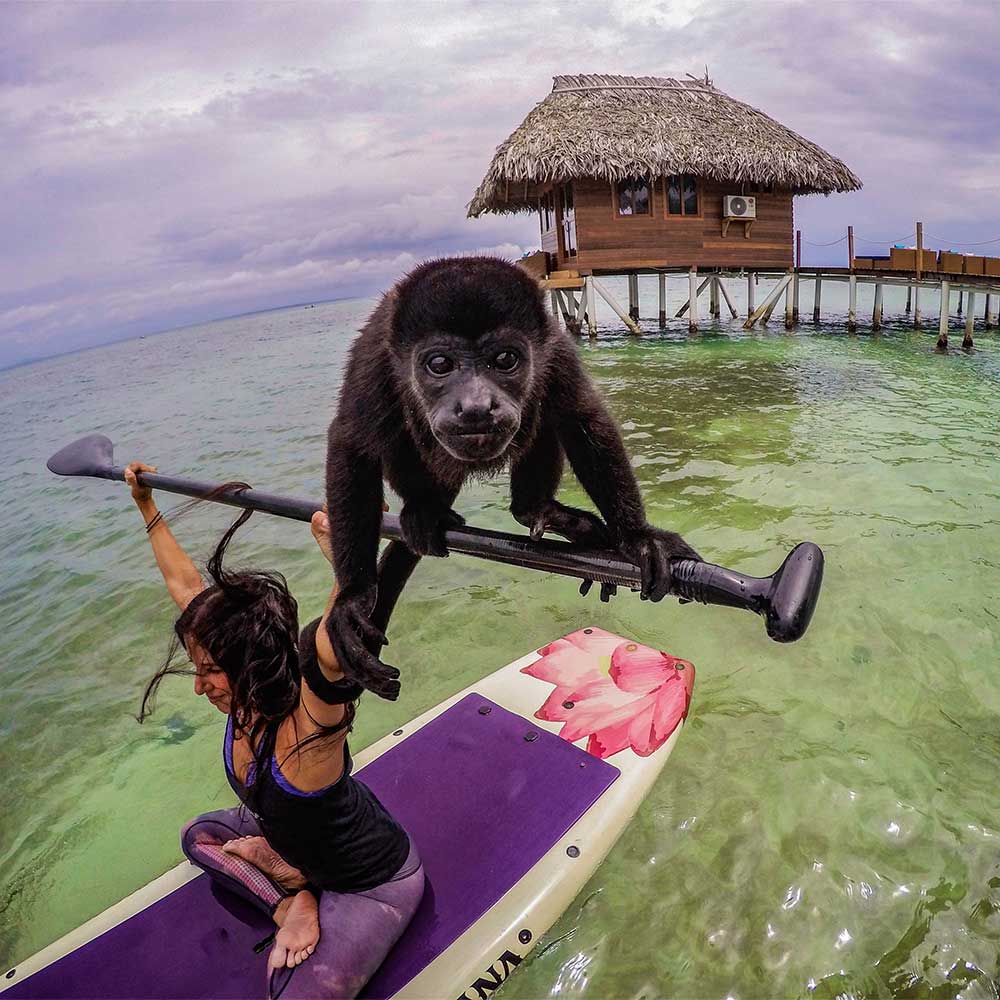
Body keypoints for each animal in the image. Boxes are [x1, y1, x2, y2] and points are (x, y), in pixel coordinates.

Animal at [324, 254, 700, 700]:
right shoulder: (373, 363)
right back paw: (425, 512)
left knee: (544, 413)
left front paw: (638, 538)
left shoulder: (555, 348)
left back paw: (541, 511)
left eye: (505, 360)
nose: (475, 406)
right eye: (439, 364)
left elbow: (583, 419)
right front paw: (352, 597)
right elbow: (352, 445)